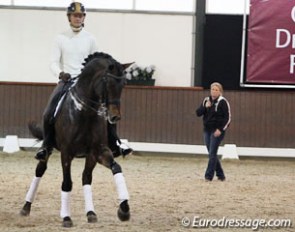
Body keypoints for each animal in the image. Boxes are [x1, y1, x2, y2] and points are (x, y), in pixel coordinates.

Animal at [20, 52, 132, 227]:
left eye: (124, 84)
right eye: (108, 82)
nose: (115, 117)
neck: (85, 111)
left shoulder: (96, 152)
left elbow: (114, 169)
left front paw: (123, 210)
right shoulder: (66, 153)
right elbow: (67, 183)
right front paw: (66, 217)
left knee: (86, 177)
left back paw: (91, 212)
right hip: (48, 149)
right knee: (40, 170)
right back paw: (26, 207)